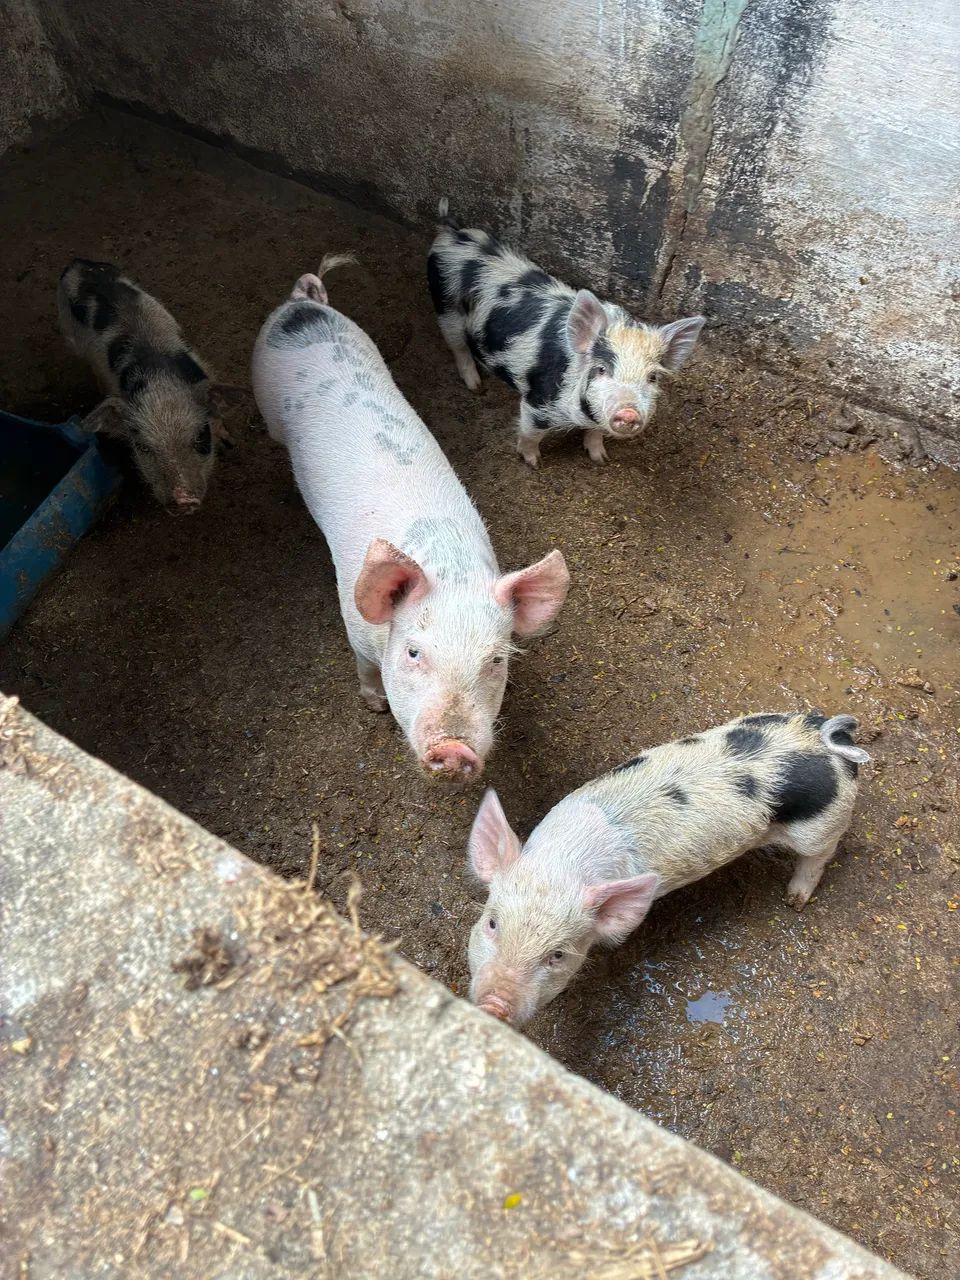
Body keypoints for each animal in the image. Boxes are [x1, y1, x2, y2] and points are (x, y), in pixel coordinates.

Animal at [57, 258, 245, 512]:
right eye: (144, 448)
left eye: (199, 437)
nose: (183, 499)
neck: (159, 380)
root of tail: (76, 263)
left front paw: (229, 443)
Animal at [251, 254, 570, 781]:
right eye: (413, 651)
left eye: (495, 661)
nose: (455, 749)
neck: (449, 565)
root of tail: (301, 305)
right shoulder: (353, 623)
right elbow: (364, 669)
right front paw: (375, 706)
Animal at [427, 200, 705, 466]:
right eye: (601, 369)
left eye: (653, 377)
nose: (628, 412)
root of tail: (452, 233)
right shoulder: (536, 403)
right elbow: (531, 433)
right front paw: (533, 463)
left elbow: (596, 433)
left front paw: (600, 459)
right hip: (445, 306)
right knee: (458, 347)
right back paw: (475, 386)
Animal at [466, 712, 870, 1025]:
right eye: (492, 923)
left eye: (558, 955)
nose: (494, 1004)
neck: (565, 860)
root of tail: (828, 740)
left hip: (821, 827)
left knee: (819, 856)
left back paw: (794, 900)